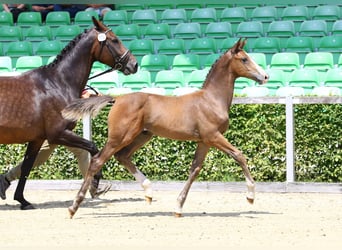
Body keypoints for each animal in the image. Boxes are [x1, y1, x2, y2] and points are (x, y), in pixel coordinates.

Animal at [0, 17, 139, 209]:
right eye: (114, 40)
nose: (134, 64)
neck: (58, 83)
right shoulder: (57, 134)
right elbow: (93, 147)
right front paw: (95, 181)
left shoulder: (37, 139)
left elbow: (27, 166)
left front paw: (22, 200)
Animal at [63, 38, 268, 217]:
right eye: (244, 59)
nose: (265, 76)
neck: (211, 100)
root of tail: (117, 99)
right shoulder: (214, 136)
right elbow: (239, 155)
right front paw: (251, 196)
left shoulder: (204, 141)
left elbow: (195, 169)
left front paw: (178, 207)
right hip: (120, 137)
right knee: (98, 160)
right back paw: (74, 206)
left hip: (142, 135)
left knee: (123, 156)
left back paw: (148, 191)